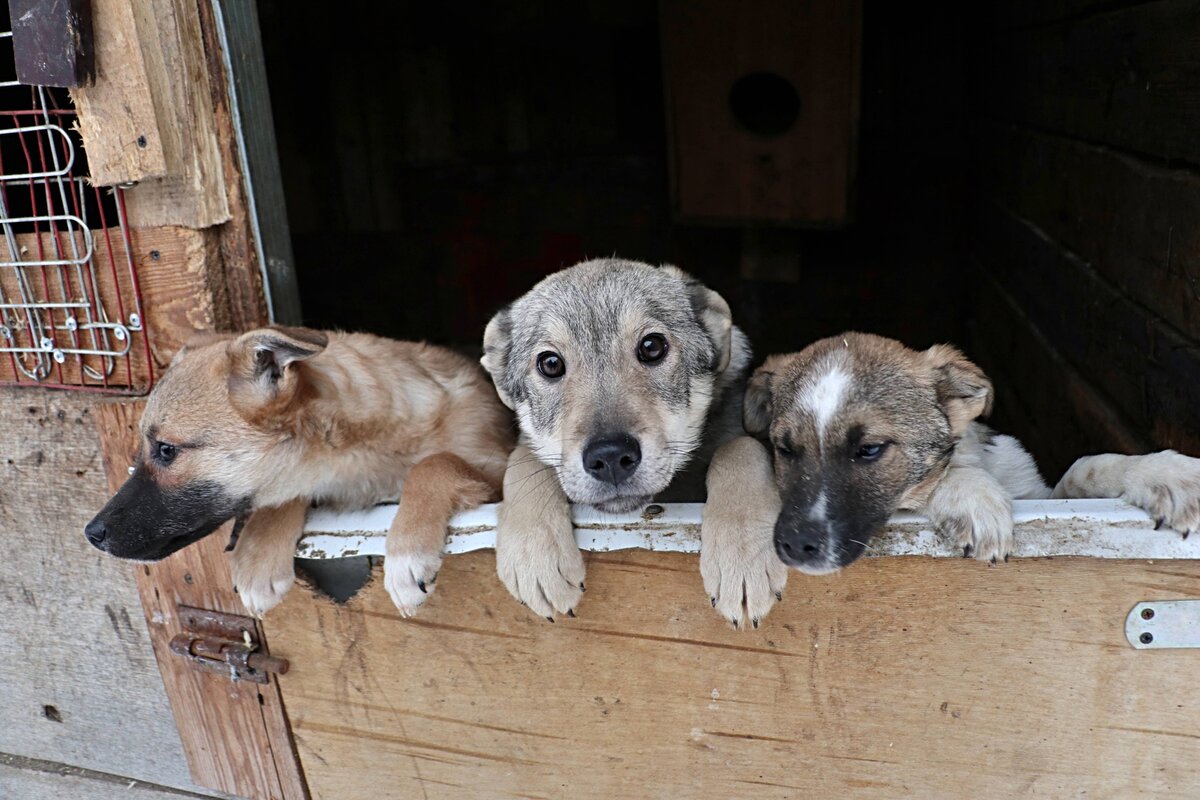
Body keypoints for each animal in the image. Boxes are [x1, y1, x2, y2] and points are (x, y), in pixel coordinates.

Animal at [83, 328, 516, 618]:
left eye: (166, 450)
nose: (91, 534)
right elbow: (283, 497)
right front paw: (258, 554)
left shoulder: (500, 467)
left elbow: (433, 463)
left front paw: (406, 553)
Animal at [739, 333, 1200, 575]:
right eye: (785, 448)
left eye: (869, 449)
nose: (795, 545)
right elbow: (953, 470)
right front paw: (973, 498)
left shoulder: (1043, 493)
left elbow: (1085, 466)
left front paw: (1165, 473)